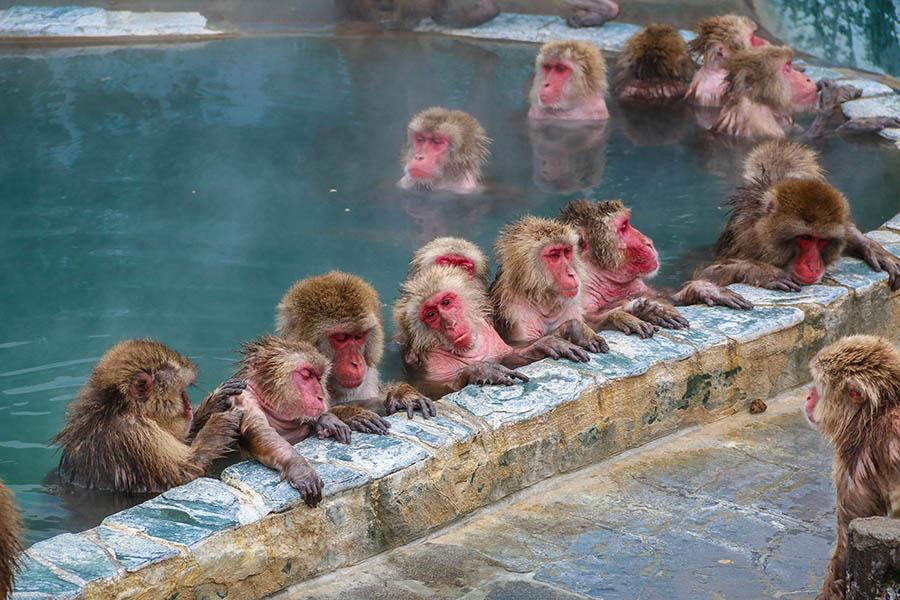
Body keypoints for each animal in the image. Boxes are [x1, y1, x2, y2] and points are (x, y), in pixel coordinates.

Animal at [54, 340, 244, 494]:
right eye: (181, 392)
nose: (188, 407)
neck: (122, 408)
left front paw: (215, 402)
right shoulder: (136, 436)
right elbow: (183, 475)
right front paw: (220, 422)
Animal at [393, 265, 589, 394]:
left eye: (446, 302)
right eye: (431, 314)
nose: (450, 324)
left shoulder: (489, 332)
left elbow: (508, 357)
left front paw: (548, 342)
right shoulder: (429, 363)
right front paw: (480, 370)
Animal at [489, 216, 608, 354]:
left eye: (566, 251)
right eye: (554, 255)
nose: (571, 273)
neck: (544, 300)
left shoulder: (571, 306)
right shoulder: (517, 313)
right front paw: (575, 330)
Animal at [559, 199, 749, 339]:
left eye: (626, 224)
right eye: (623, 228)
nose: (648, 242)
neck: (604, 279)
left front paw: (704, 289)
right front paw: (635, 311)